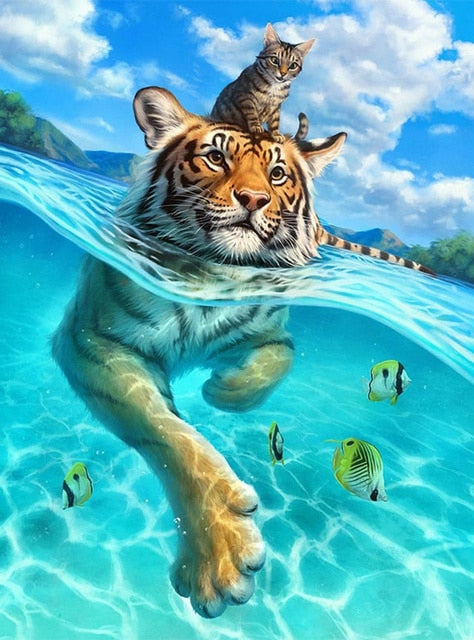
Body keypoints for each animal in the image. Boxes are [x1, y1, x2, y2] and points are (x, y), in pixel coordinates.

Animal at [52, 86, 431, 619]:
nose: (253, 199)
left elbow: (272, 366)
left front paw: (223, 390)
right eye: (216, 158)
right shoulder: (92, 340)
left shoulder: (272, 334)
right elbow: (168, 435)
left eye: (277, 174)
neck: (210, 278)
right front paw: (220, 555)